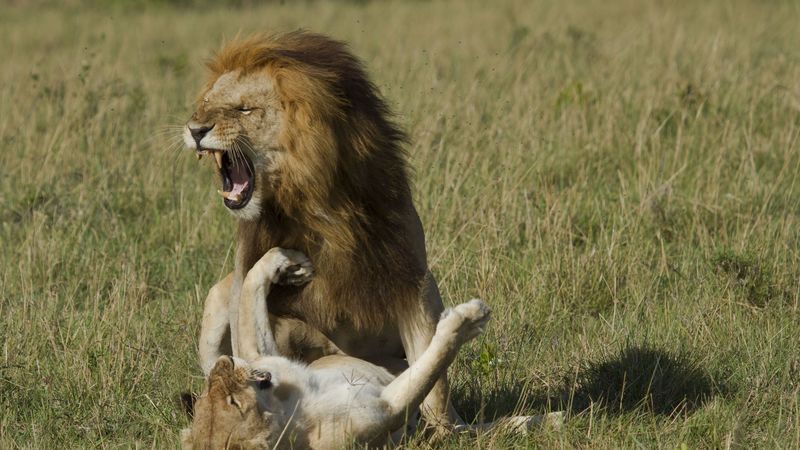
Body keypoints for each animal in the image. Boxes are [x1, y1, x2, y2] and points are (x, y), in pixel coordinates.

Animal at [181, 247, 494, 449]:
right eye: (233, 403)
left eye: (208, 392)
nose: (224, 363)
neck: (290, 404)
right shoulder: (386, 411)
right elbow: (431, 366)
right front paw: (468, 319)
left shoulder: (262, 356)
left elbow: (249, 292)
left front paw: (285, 261)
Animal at [182, 31, 462, 429]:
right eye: (205, 105)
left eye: (244, 109)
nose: (194, 130)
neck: (310, 200)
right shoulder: (241, 287)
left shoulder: (414, 279)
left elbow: (434, 381)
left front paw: (445, 429)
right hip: (216, 307)